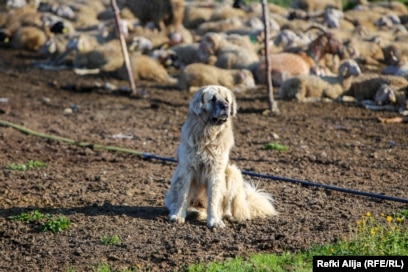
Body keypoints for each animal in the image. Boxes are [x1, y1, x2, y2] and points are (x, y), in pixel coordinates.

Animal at [163, 84, 278, 227]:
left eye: (227, 100)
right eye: (212, 99)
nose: (225, 106)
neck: (208, 135)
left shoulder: (216, 172)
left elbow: (214, 198)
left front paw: (214, 221)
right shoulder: (186, 169)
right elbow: (183, 195)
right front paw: (178, 215)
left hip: (233, 173)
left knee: (226, 205)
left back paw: (227, 216)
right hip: (176, 178)